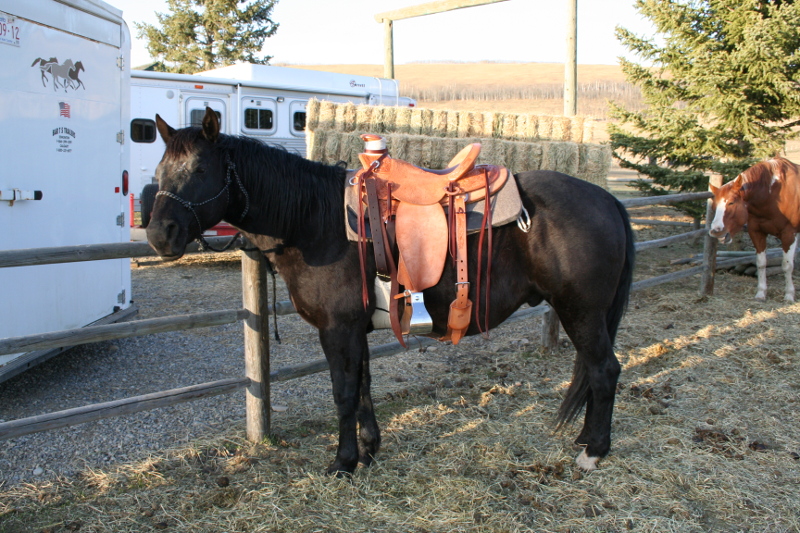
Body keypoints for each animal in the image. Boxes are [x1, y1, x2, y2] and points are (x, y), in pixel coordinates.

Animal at [147, 107, 636, 474]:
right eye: (161, 169)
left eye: (200, 168)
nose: (158, 234)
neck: (316, 221)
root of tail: (607, 198)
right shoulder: (355, 329)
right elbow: (363, 386)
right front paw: (369, 448)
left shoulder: (337, 330)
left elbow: (343, 392)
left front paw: (343, 462)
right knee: (595, 373)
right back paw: (586, 440)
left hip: (581, 312)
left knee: (604, 371)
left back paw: (594, 451)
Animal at [708, 156, 796, 302]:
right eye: (714, 205)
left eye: (731, 202)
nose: (716, 231)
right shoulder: (756, 232)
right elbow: (761, 263)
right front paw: (761, 293)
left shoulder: (789, 234)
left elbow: (787, 265)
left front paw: (789, 295)